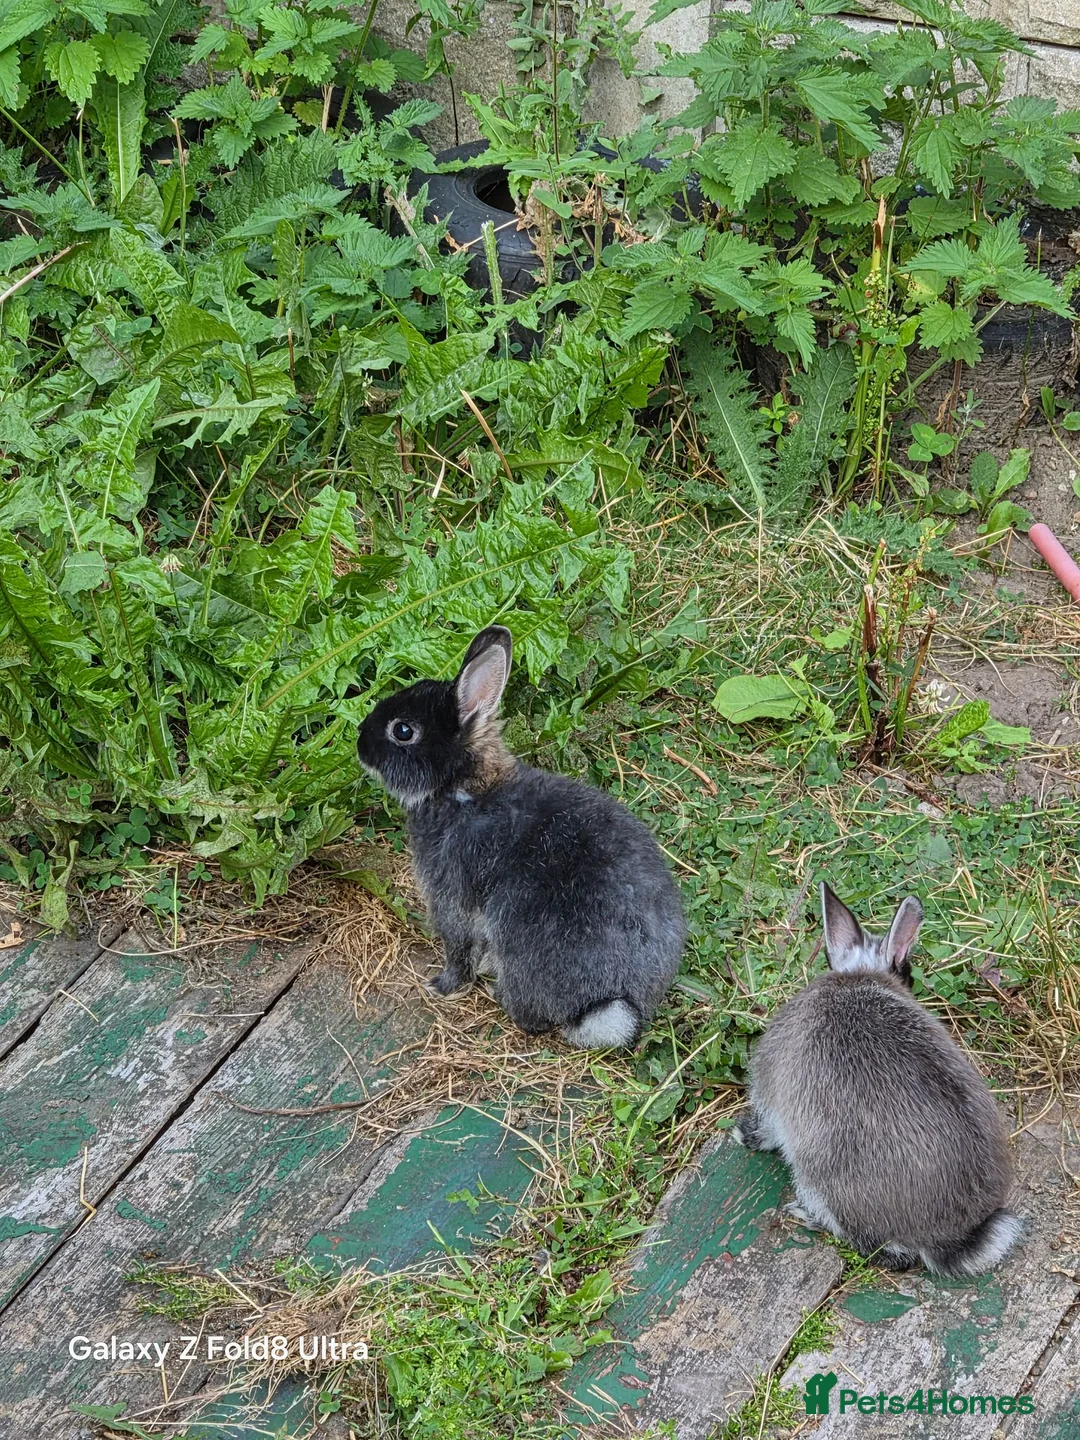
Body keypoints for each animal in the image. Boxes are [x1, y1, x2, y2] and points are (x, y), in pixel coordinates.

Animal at [356, 625, 685, 1048]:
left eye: (402, 731)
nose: (360, 742)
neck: (461, 785)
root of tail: (608, 1003)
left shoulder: (449, 893)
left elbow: (457, 944)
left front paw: (444, 985)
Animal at [732, 882, 1022, 1277]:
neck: (857, 976)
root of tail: (947, 1239)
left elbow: (768, 1129)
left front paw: (745, 1134)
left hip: (819, 1178)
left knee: (884, 1251)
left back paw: (806, 1216)